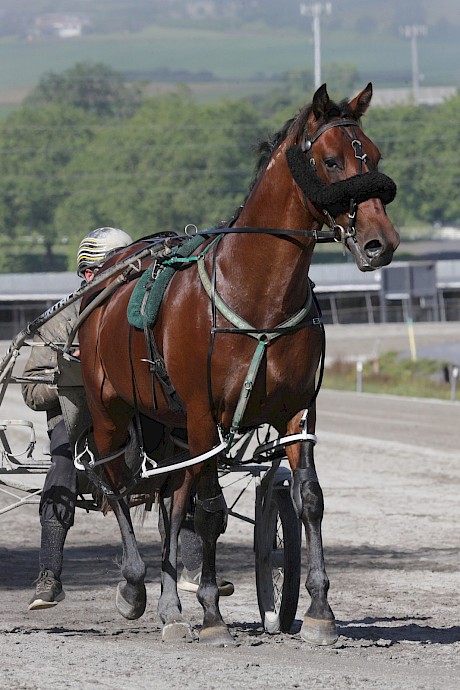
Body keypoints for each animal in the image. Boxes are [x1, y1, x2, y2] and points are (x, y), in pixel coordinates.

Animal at [78, 82, 398, 644]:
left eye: (375, 156)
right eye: (331, 160)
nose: (382, 242)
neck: (256, 294)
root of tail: (111, 277)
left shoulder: (298, 411)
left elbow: (308, 498)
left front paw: (319, 610)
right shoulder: (206, 414)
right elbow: (207, 511)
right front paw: (210, 613)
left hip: (173, 427)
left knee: (171, 496)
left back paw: (169, 605)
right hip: (110, 410)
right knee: (114, 482)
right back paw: (135, 586)